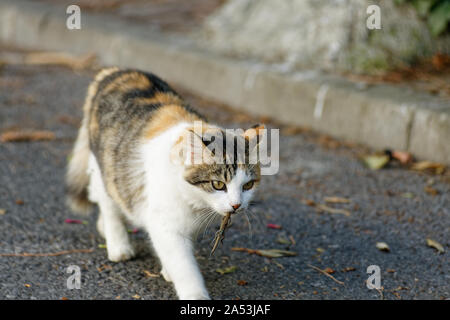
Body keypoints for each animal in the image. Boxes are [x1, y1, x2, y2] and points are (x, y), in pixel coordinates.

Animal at [66, 67, 264, 300]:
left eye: (247, 185)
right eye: (218, 184)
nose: (236, 205)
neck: (194, 201)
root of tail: (115, 71)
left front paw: (168, 270)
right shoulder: (164, 223)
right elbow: (183, 265)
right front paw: (195, 294)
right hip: (104, 166)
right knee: (108, 203)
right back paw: (118, 245)